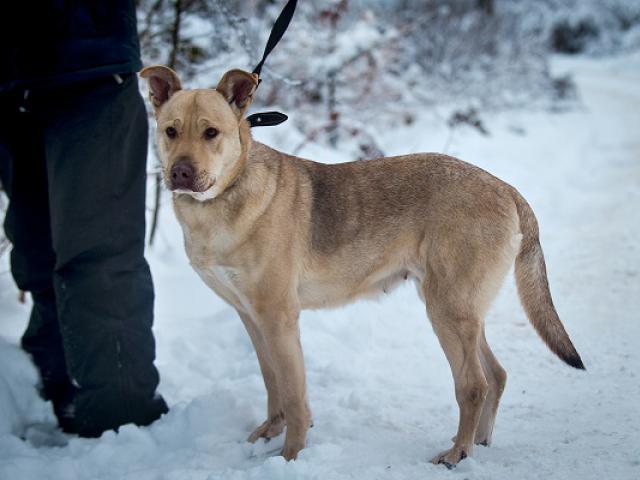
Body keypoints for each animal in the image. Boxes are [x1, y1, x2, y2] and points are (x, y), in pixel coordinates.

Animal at [140, 65, 584, 466]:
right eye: (171, 131)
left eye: (211, 133)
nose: (181, 172)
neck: (222, 198)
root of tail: (506, 188)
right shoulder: (250, 316)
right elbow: (273, 383)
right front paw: (268, 433)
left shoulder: (279, 317)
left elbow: (295, 395)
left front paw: (291, 456)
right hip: (464, 311)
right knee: (496, 375)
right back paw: (479, 443)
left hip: (447, 309)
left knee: (473, 385)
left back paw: (457, 452)